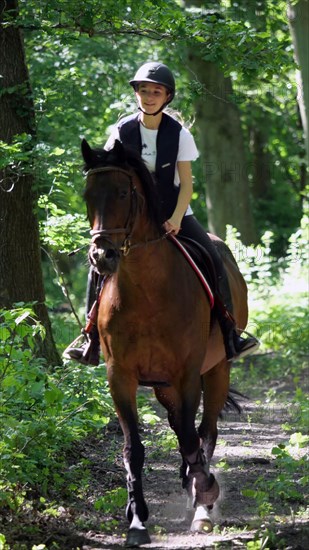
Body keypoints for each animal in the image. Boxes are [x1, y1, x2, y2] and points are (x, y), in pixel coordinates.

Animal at [81, 139, 248, 548]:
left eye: (123, 192)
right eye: (88, 195)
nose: (101, 256)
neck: (147, 290)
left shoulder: (187, 373)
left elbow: (192, 438)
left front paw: (205, 494)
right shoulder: (120, 376)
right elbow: (133, 449)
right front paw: (137, 521)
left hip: (216, 370)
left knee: (205, 431)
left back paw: (201, 501)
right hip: (162, 386)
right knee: (180, 425)